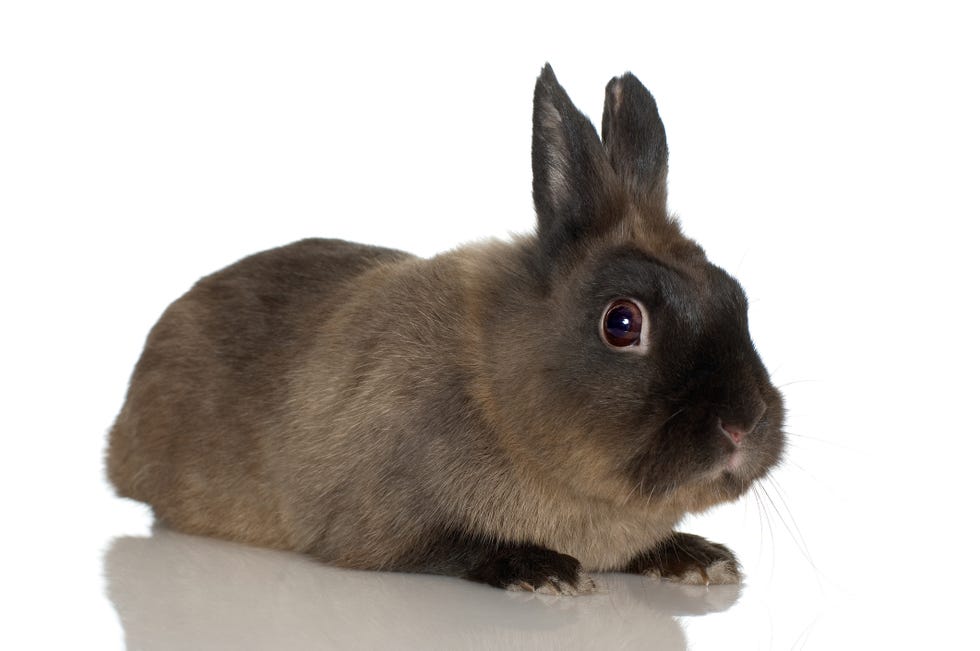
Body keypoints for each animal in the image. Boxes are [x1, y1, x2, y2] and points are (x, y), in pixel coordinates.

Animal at [107, 65, 784, 596]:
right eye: (622, 322)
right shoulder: (385, 530)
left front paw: (700, 559)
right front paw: (544, 572)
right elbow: (457, 546)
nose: (742, 424)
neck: (497, 388)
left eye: (734, 295)